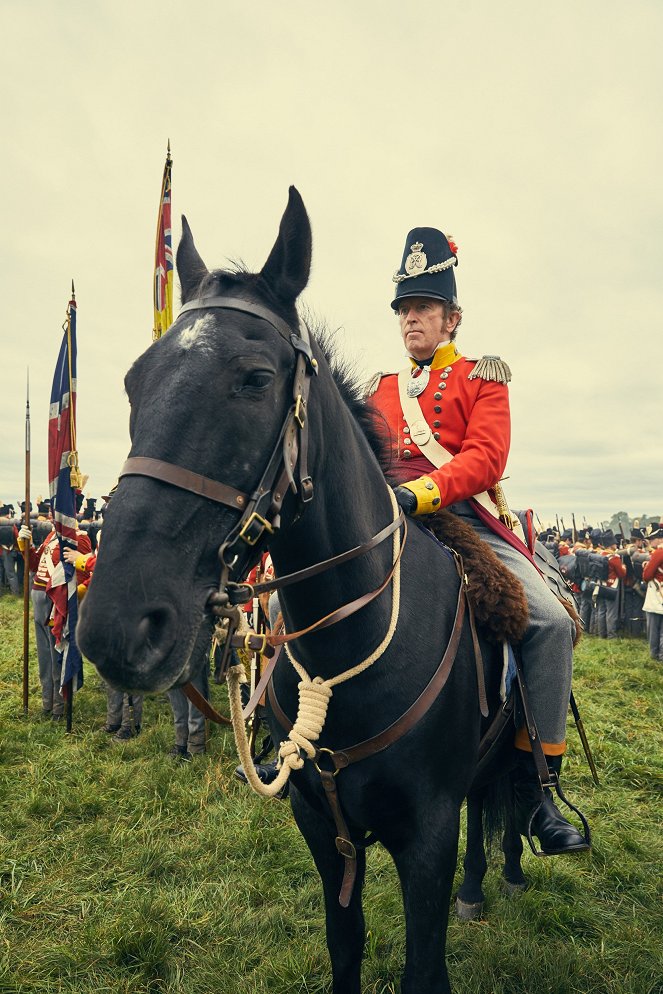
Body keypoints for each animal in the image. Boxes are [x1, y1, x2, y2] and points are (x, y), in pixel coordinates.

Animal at [78, 188, 520, 992]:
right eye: (133, 380)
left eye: (255, 377)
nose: (117, 625)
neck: (352, 647)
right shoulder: (320, 825)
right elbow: (344, 945)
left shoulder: (428, 836)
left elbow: (423, 967)